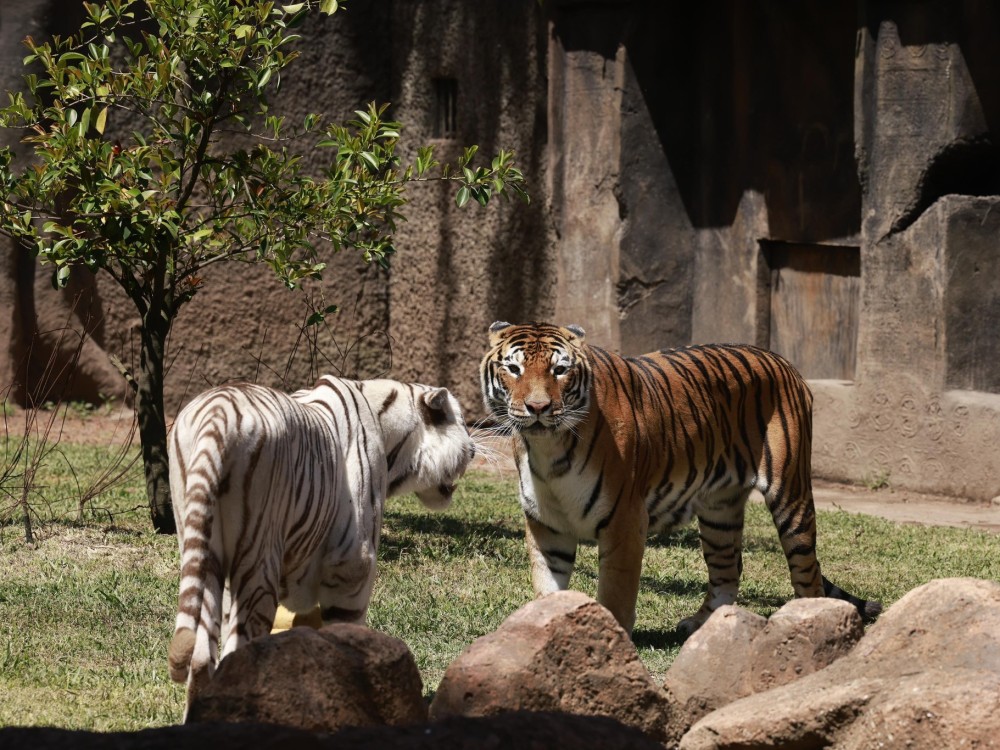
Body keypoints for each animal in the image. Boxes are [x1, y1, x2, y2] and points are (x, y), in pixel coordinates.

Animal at [166, 376, 475, 709]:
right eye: (459, 420)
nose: (473, 450)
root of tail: (217, 413)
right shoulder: (354, 564)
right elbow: (347, 635)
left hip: (205, 554)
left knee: (200, 659)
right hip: (257, 560)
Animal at [480, 321, 882, 636]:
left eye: (560, 370)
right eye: (513, 369)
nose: (538, 408)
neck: (549, 449)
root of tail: (784, 362)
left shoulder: (625, 520)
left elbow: (615, 592)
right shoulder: (546, 523)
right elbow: (548, 586)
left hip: (791, 494)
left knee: (806, 571)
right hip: (720, 511)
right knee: (728, 569)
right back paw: (703, 626)